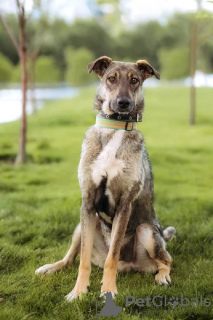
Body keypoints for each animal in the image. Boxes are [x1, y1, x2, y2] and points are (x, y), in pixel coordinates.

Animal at [35, 57, 176, 300]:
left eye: (135, 80)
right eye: (111, 79)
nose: (123, 103)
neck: (115, 129)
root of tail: (129, 267)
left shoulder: (124, 205)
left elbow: (112, 256)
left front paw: (108, 290)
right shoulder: (88, 202)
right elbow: (83, 259)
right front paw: (78, 291)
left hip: (147, 231)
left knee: (166, 260)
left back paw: (162, 277)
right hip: (81, 226)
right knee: (70, 257)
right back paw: (51, 267)